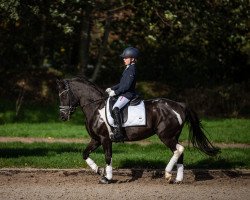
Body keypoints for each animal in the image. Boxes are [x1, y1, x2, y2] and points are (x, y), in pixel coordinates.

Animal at [56, 76, 219, 184]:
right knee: (180, 152)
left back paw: (167, 174)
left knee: (179, 149)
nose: (62, 116)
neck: (96, 108)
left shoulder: (105, 139)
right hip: (173, 136)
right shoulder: (96, 139)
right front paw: (99, 170)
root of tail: (179, 105)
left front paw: (107, 177)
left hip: (166, 136)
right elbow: (85, 154)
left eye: (64, 95)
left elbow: (108, 156)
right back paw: (178, 179)